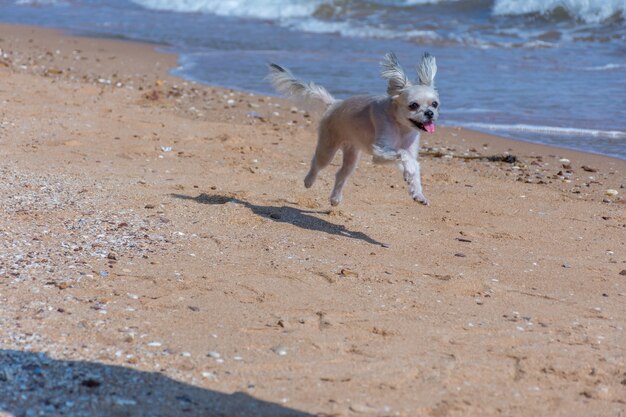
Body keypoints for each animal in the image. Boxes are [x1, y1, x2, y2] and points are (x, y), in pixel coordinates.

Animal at [266, 52, 436, 206]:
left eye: (435, 104)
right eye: (413, 105)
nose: (429, 113)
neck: (401, 126)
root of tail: (334, 103)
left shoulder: (403, 152)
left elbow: (412, 165)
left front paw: (417, 192)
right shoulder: (379, 152)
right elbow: (403, 154)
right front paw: (410, 172)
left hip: (352, 156)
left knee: (341, 175)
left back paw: (335, 199)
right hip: (327, 149)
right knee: (317, 163)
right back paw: (309, 180)